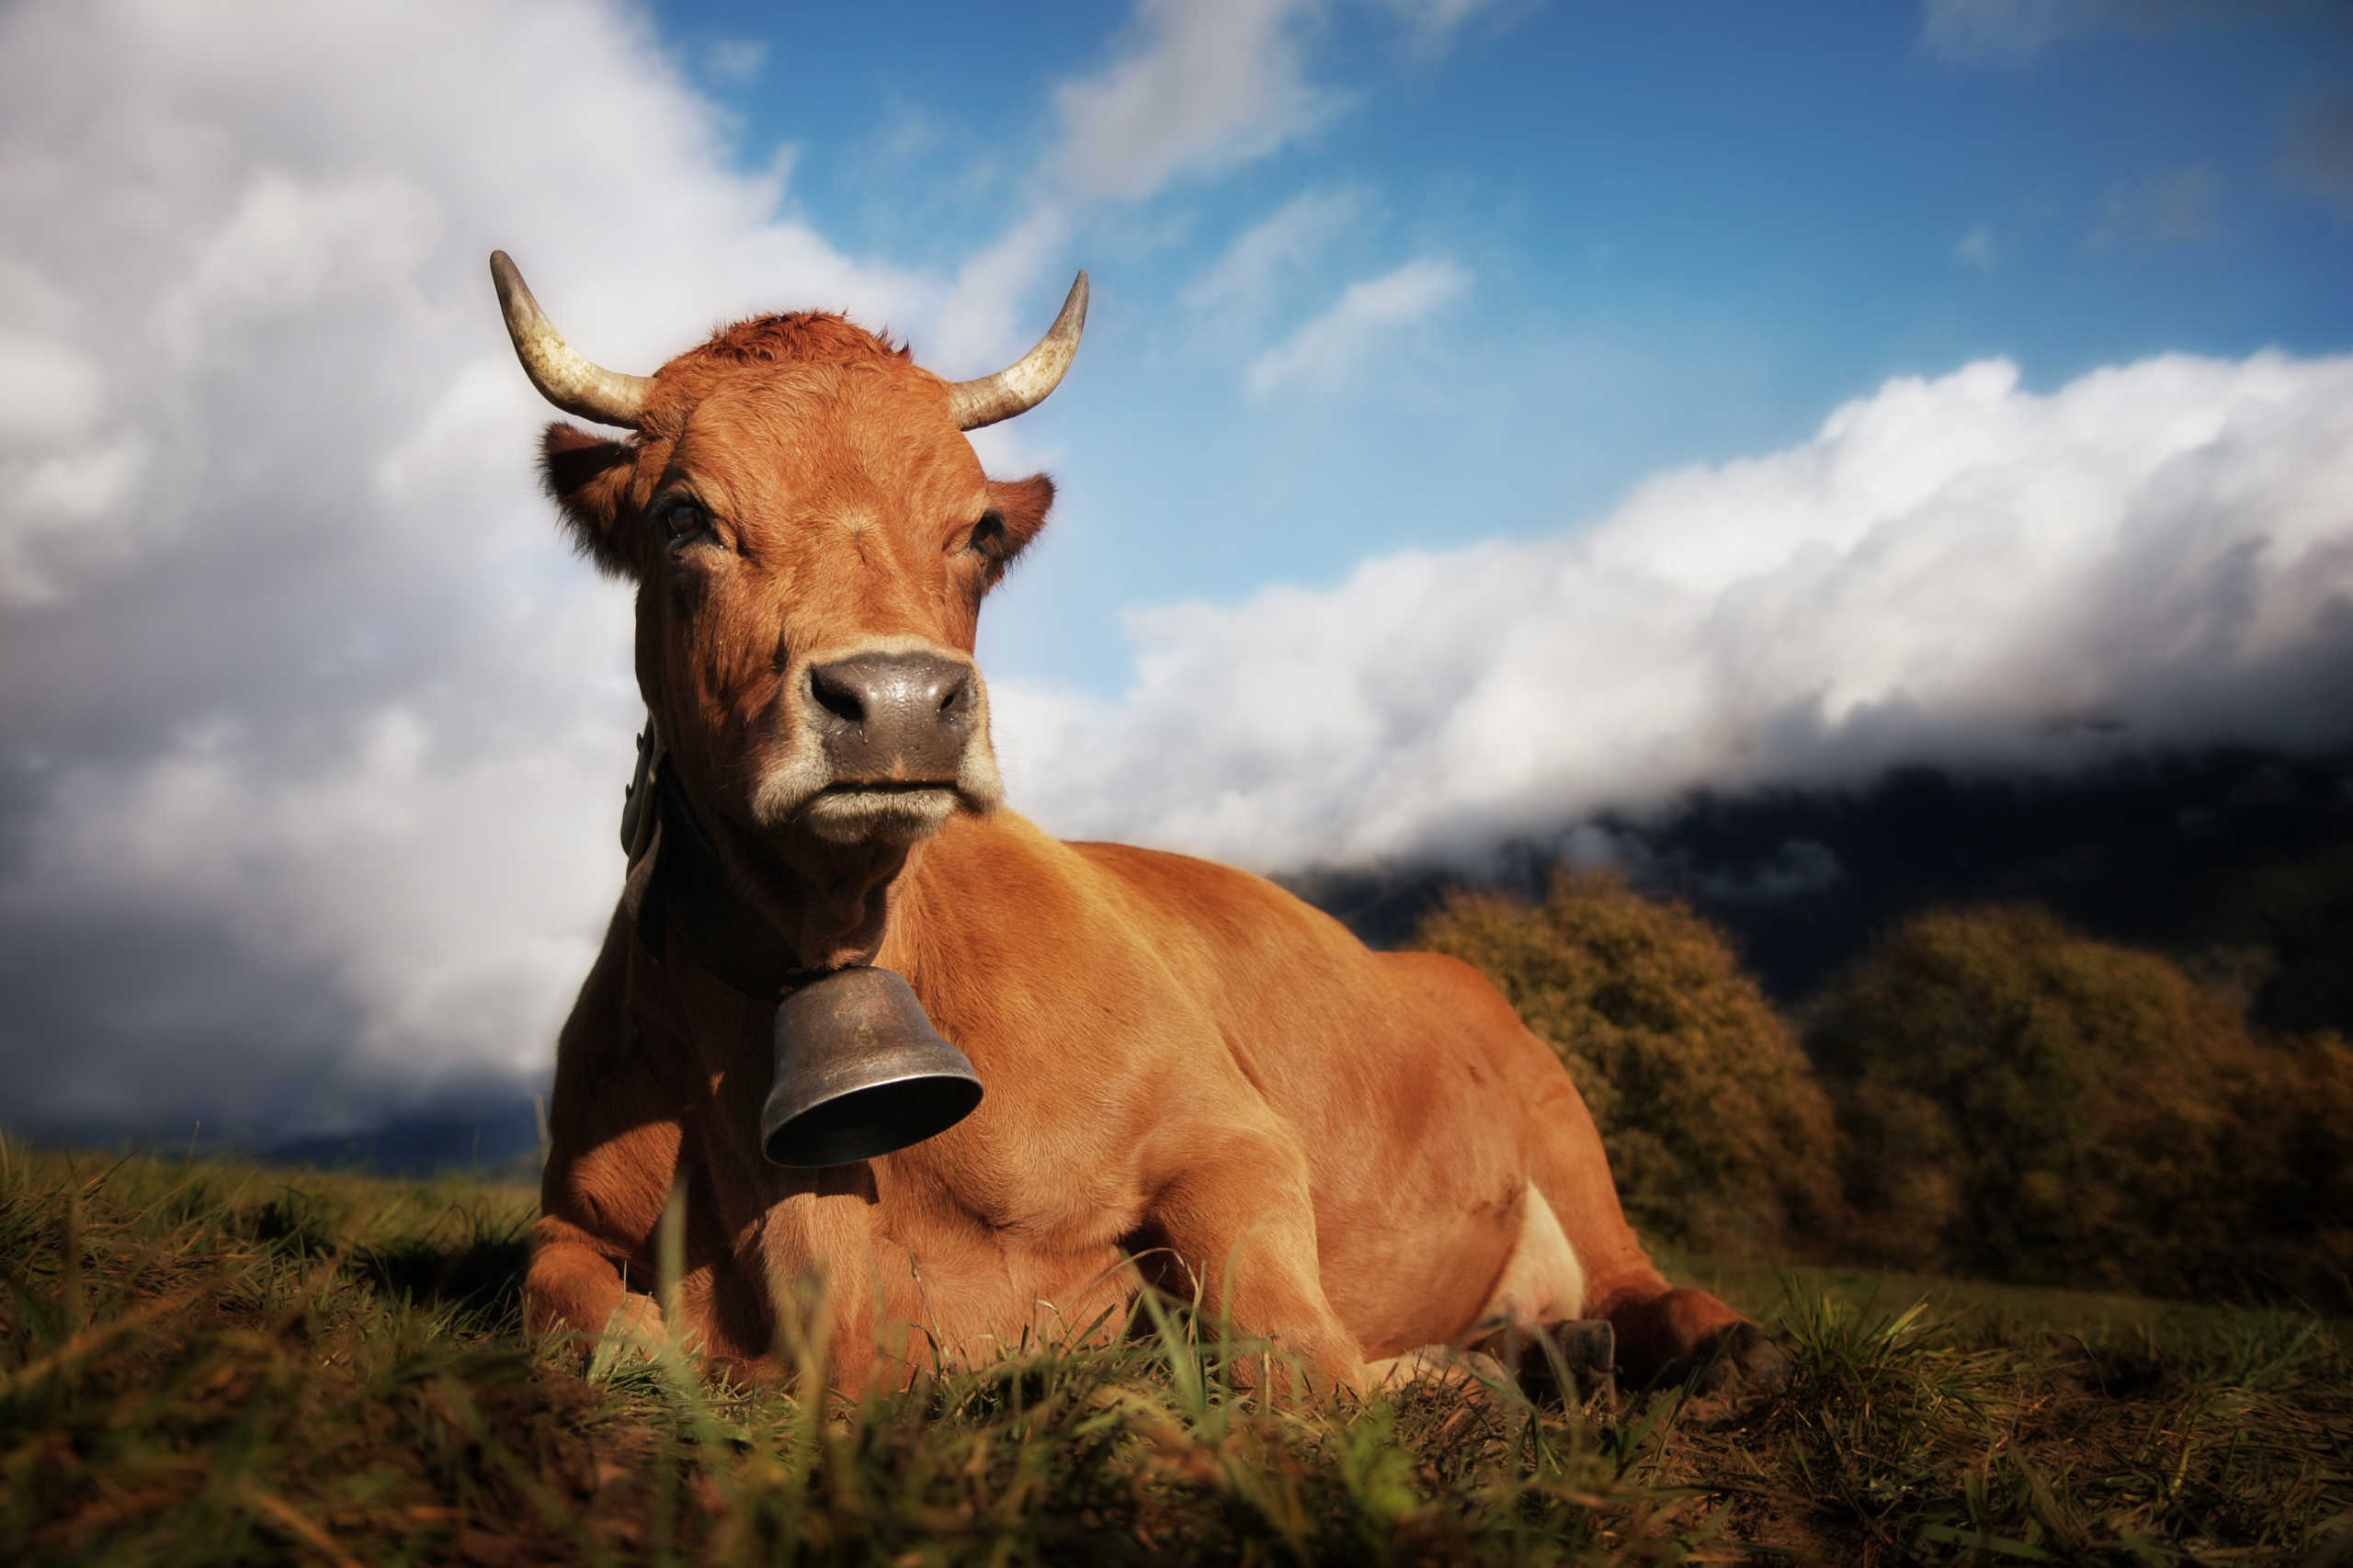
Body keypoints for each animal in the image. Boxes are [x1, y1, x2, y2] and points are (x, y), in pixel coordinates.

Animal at [494, 251, 1789, 1400]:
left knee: (1639, 1280)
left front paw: (1449, 1378)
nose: (900, 701)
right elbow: (589, 1325)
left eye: (977, 531)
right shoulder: (566, 1218)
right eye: (683, 517)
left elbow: (1294, 1364)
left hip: (1561, 1118)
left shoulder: (1229, 1139)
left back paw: (1692, 1346)